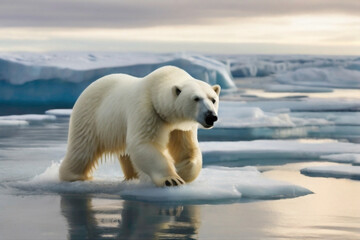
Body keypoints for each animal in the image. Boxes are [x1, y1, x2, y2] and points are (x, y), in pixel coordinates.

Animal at [59, 66, 219, 188]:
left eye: (213, 99)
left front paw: (181, 172)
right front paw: (171, 179)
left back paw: (133, 176)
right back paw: (74, 176)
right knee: (82, 149)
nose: (211, 116)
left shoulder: (180, 127)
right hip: (91, 118)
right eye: (196, 98)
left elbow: (187, 149)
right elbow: (144, 144)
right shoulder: (147, 110)